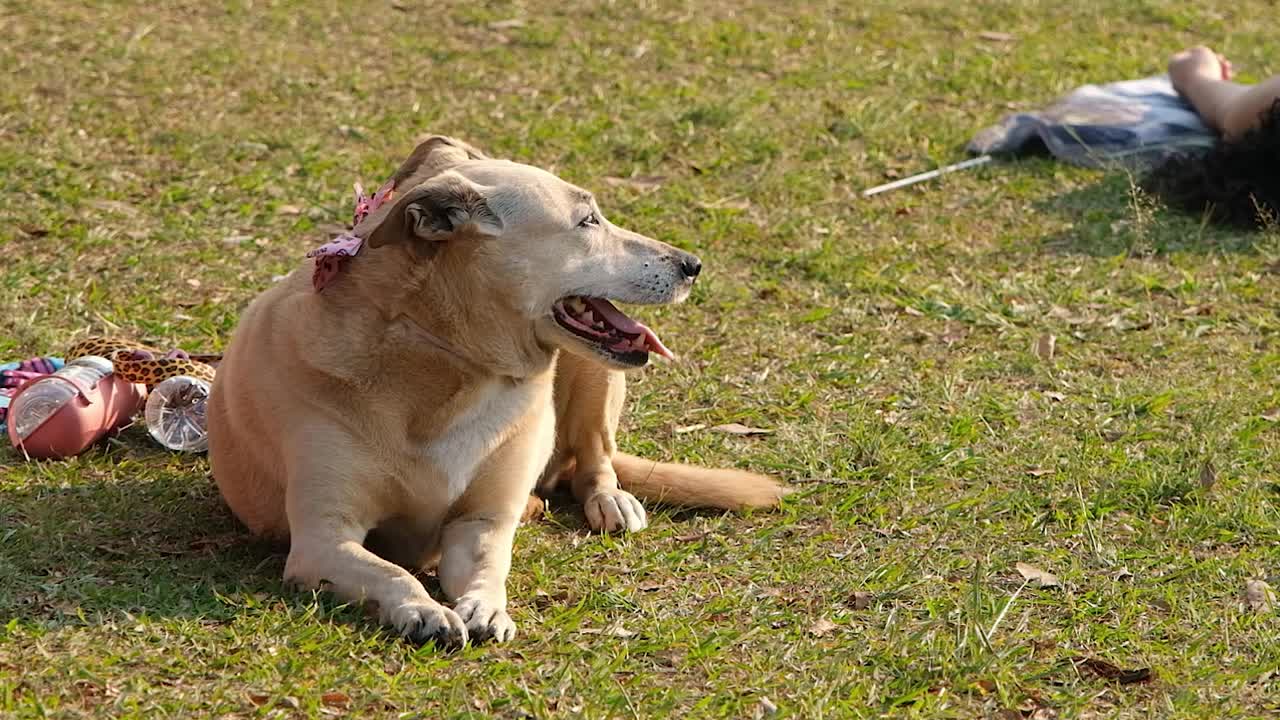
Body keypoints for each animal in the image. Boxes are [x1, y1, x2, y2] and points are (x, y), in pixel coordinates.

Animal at [208, 134, 783, 645]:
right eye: (587, 221)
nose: (693, 265)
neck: (448, 363)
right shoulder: (323, 539)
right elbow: (393, 571)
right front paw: (422, 608)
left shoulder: (478, 524)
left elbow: (489, 568)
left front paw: (485, 607)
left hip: (595, 374)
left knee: (594, 458)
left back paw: (607, 500)